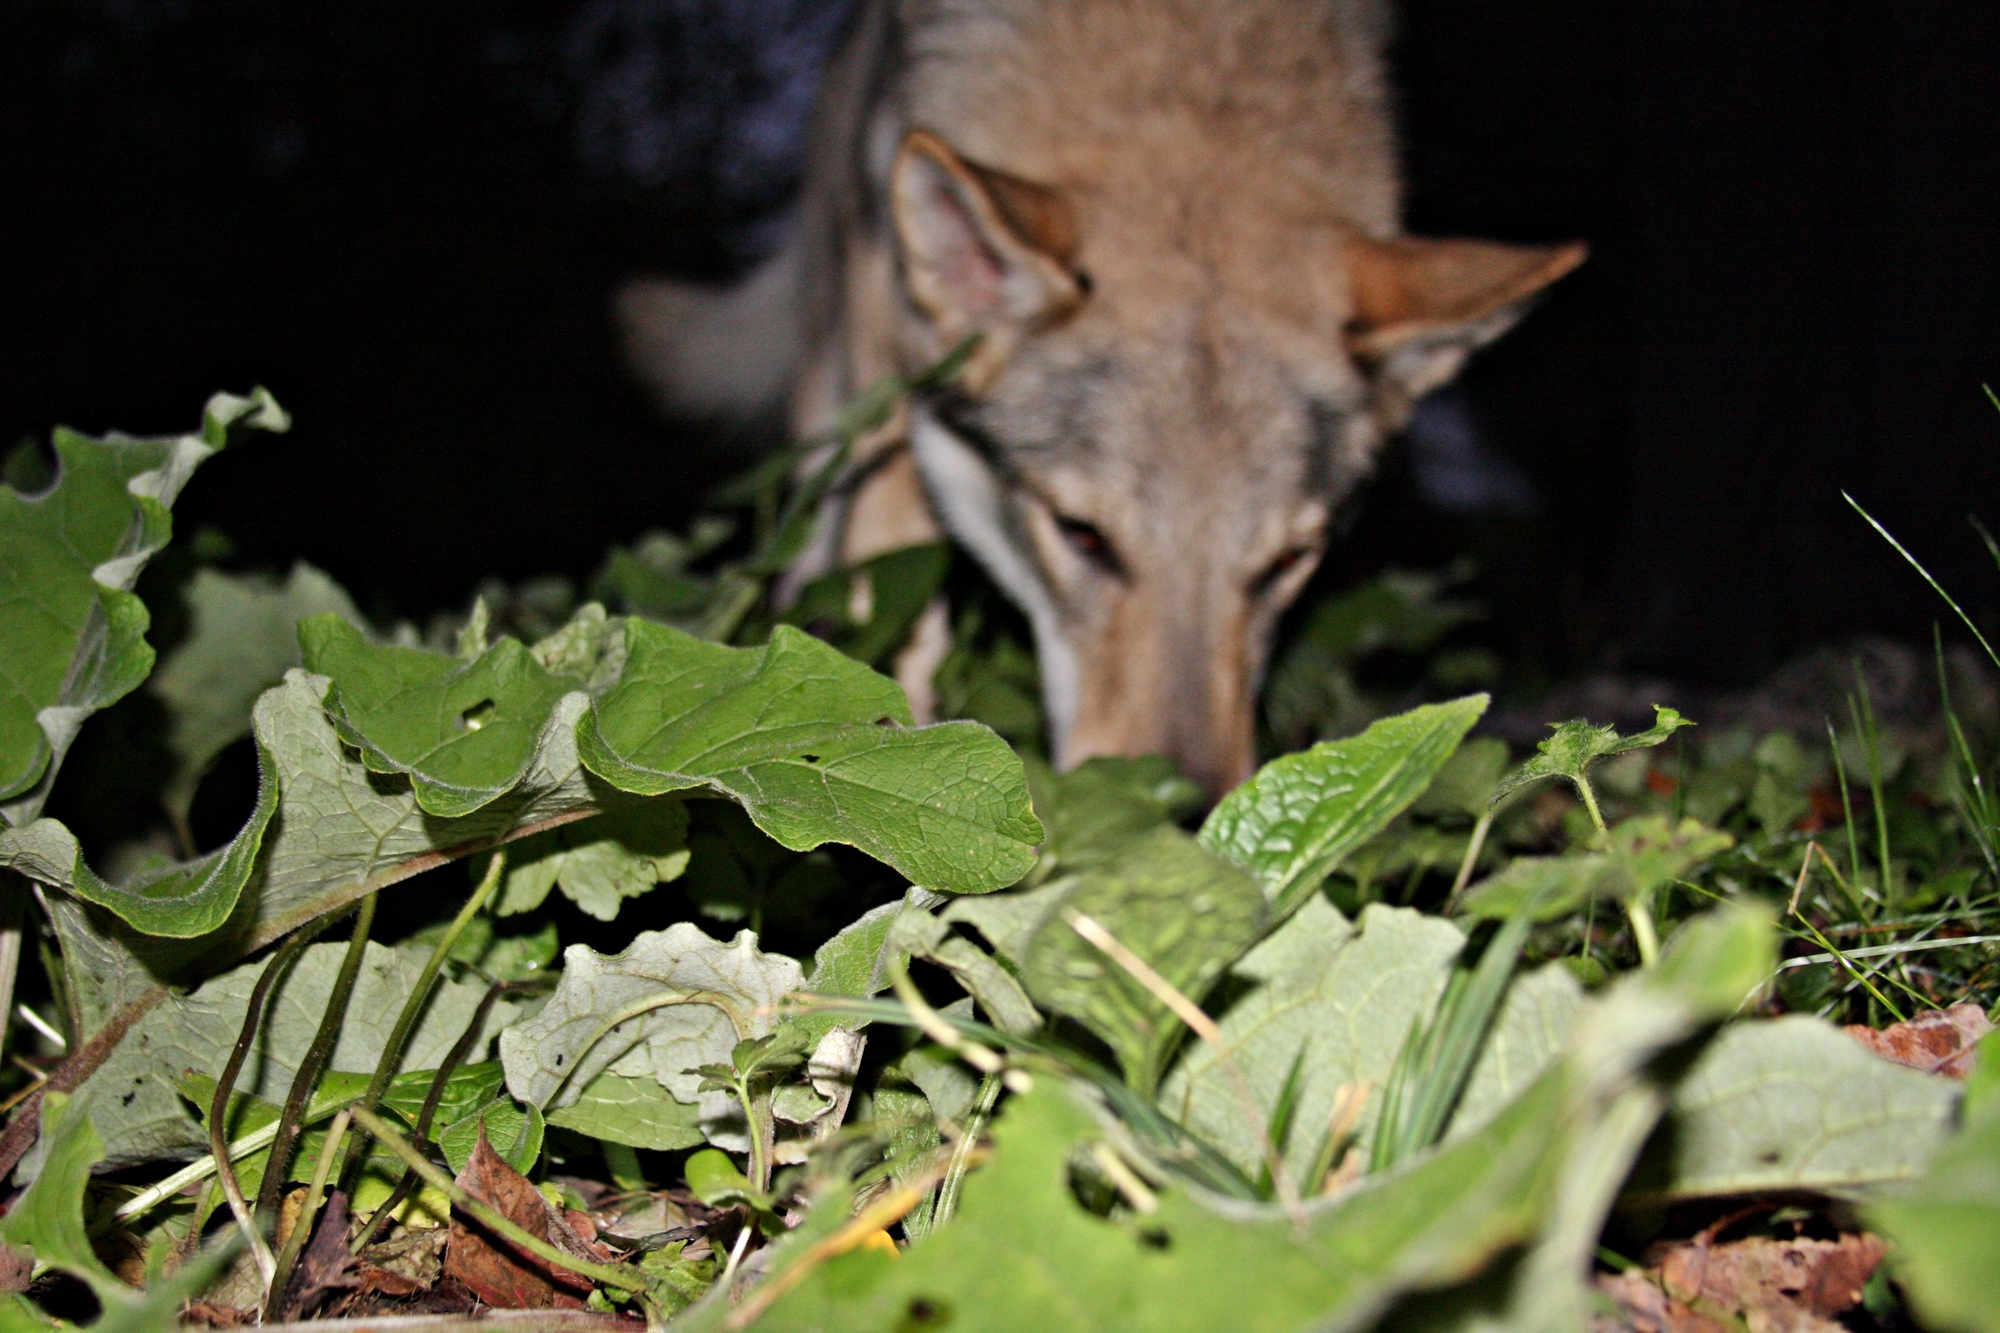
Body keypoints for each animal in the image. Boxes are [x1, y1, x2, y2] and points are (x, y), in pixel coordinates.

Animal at [616, 0, 1584, 788]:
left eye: (1285, 563)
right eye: (1081, 534)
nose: (1180, 812)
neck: (1185, 60)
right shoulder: (888, 360)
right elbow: (884, 623)